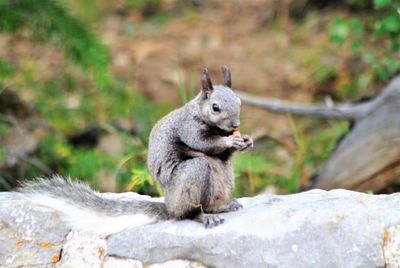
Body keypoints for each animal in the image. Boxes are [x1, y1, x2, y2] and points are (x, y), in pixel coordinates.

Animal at [18, 66, 253, 234]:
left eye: (240, 101)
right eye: (215, 107)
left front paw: (247, 141)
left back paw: (224, 206)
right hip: (193, 176)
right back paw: (203, 216)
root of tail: (168, 205)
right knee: (188, 212)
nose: (235, 124)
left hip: (225, 179)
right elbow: (204, 143)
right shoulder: (188, 128)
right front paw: (230, 142)